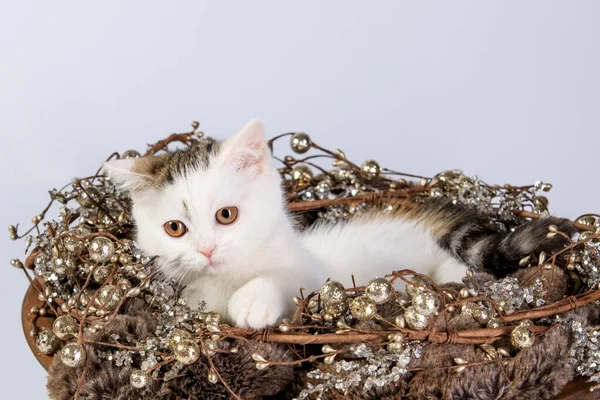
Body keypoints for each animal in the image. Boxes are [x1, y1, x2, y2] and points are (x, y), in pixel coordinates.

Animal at [104, 120, 576, 330]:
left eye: (226, 215)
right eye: (175, 229)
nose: (207, 250)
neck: (228, 277)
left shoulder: (313, 275)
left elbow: (287, 281)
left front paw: (254, 300)